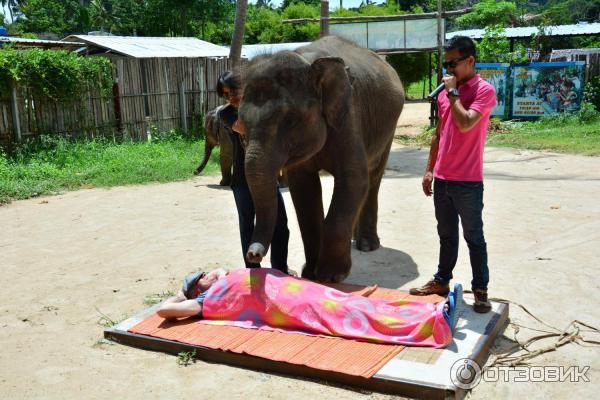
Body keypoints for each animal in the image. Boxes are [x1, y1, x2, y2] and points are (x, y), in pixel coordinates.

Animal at [238, 36, 404, 282]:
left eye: (290, 121)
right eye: (241, 126)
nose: (253, 255)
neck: (308, 62)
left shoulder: (348, 116)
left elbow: (353, 179)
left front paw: (330, 276)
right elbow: (303, 189)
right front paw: (310, 274)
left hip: (389, 130)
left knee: (373, 178)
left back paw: (366, 245)